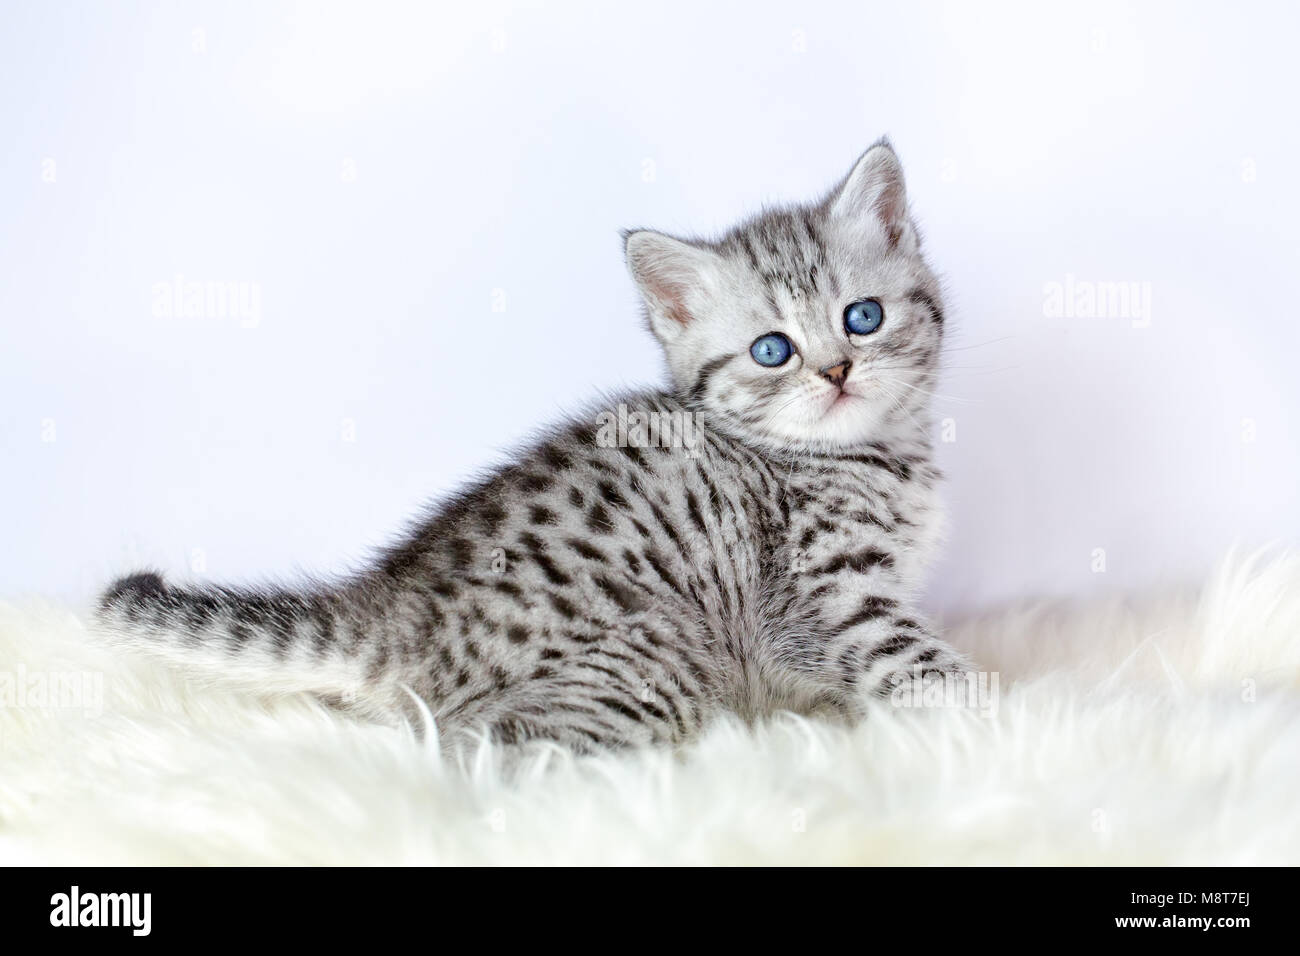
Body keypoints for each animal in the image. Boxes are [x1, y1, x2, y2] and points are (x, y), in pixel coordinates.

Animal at [98, 141, 967, 749]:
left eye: (862, 317)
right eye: (772, 351)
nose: (837, 370)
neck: (872, 456)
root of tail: (395, 608)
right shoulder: (828, 597)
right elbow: (923, 668)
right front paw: (988, 725)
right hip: (656, 648)